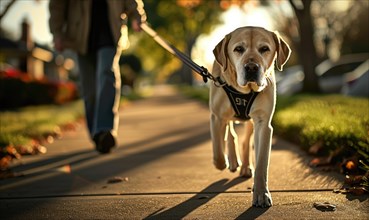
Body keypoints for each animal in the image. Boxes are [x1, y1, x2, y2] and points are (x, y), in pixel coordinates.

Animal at [208, 26, 288, 207]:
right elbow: (217, 150)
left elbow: (261, 164)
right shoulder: (216, 116)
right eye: (238, 49)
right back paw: (232, 161)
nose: (251, 68)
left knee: (244, 141)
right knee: (229, 133)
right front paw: (223, 162)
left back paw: (244, 166)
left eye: (264, 49)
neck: (244, 91)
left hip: (251, 124)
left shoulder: (263, 124)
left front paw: (261, 194)